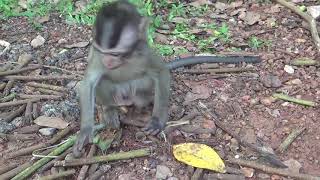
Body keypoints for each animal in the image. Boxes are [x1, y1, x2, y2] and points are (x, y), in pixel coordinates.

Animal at [72, 0, 260, 157]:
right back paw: (110, 108)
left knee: (142, 87)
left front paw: (157, 120)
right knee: (104, 81)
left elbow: (160, 72)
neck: (126, 58)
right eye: (102, 51)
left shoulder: (144, 53)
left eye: (116, 53)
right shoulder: (97, 56)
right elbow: (87, 83)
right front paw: (85, 130)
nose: (107, 61)